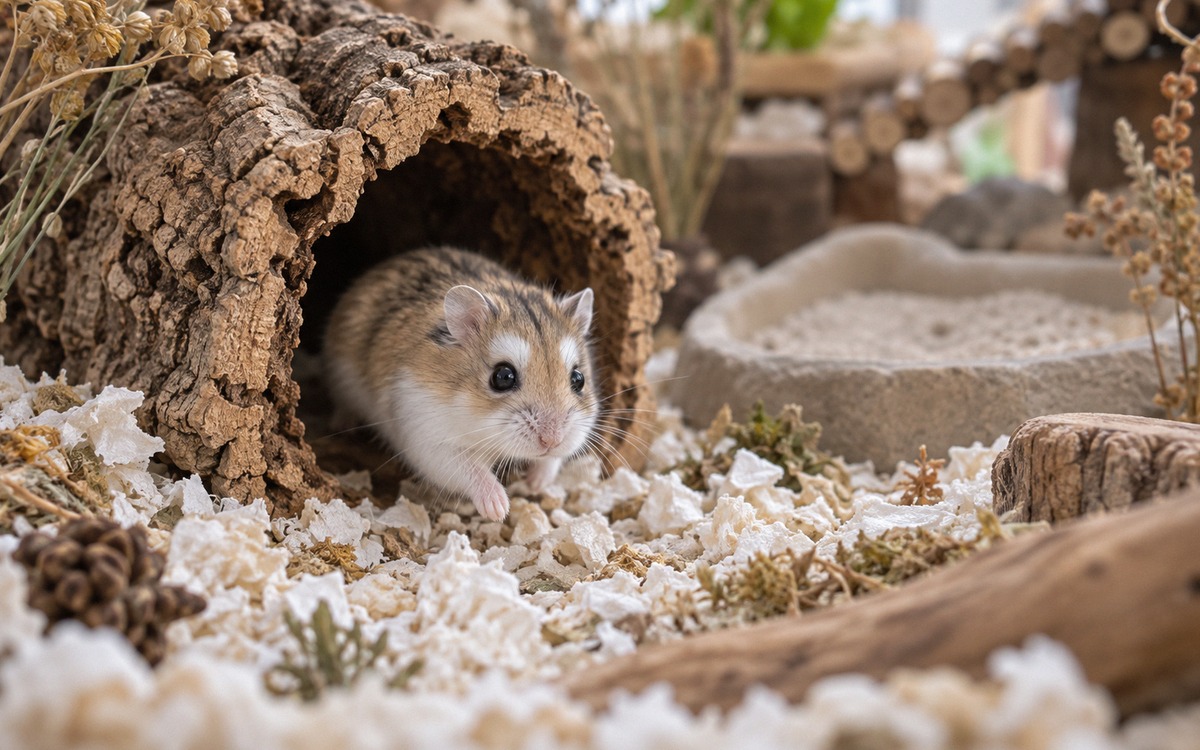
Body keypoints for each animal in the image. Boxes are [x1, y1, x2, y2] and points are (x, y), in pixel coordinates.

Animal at [322, 247, 598, 522]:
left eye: (578, 379)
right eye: (503, 377)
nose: (552, 441)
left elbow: (553, 461)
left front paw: (535, 483)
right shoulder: (427, 438)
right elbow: (469, 469)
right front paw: (499, 509)